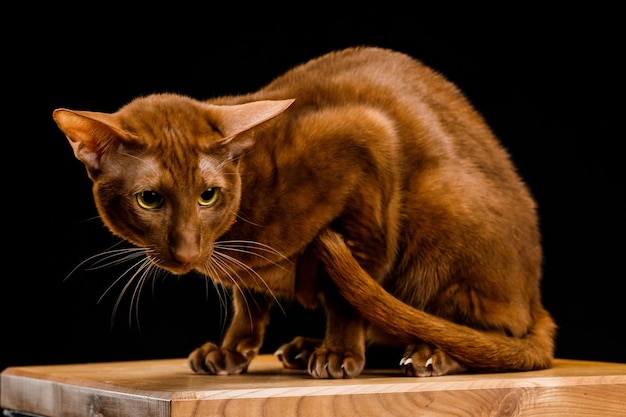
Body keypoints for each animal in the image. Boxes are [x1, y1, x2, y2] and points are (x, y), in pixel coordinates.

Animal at [52, 47, 552, 378]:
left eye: (208, 196)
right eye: (150, 200)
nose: (187, 252)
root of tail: (535, 301)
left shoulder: (367, 146)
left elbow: (344, 300)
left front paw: (339, 354)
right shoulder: (244, 278)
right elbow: (248, 302)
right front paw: (231, 352)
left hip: (441, 209)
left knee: (483, 335)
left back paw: (429, 353)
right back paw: (302, 348)